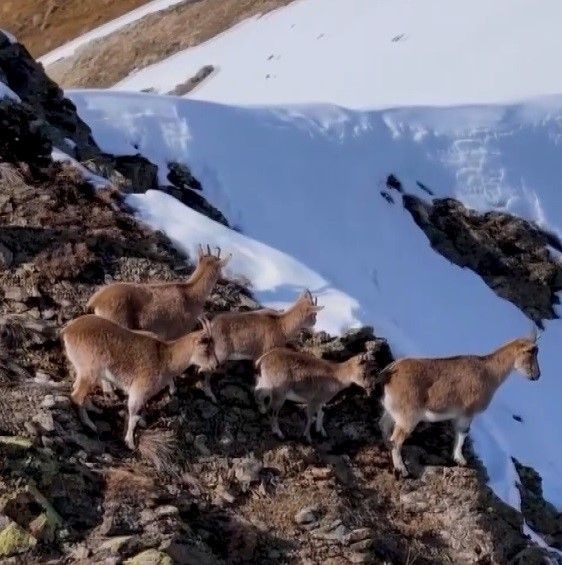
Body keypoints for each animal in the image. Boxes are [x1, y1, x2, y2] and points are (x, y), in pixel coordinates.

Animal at [61, 316, 217, 448]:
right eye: (206, 349)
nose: (214, 365)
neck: (165, 358)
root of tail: (67, 331)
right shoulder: (139, 390)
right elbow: (133, 414)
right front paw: (130, 442)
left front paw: (141, 422)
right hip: (90, 371)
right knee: (77, 396)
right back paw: (90, 425)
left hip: (82, 371)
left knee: (76, 388)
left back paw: (94, 409)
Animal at [376, 330, 540, 476]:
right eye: (531, 352)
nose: (537, 375)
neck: (489, 373)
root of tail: (389, 373)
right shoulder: (467, 412)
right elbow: (462, 433)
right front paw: (461, 459)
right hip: (408, 416)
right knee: (396, 440)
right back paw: (401, 468)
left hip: (392, 411)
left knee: (383, 426)